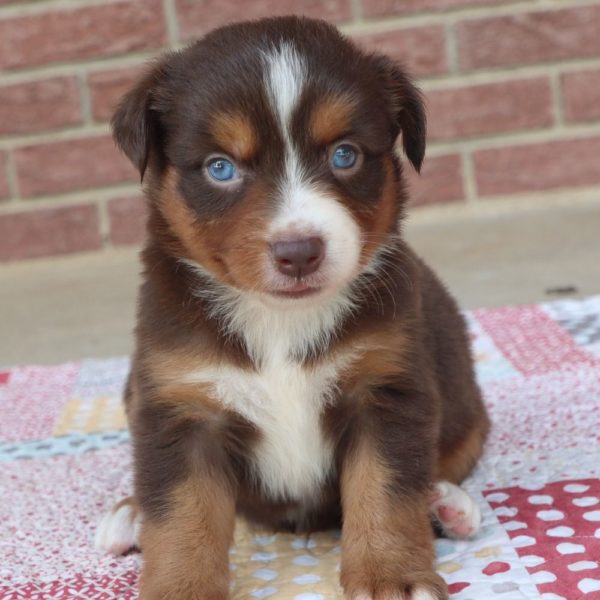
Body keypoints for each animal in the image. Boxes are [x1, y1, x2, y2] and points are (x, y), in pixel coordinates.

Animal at [94, 16, 488, 600]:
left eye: (345, 155)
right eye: (220, 168)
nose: (299, 251)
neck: (277, 321)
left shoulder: (387, 388)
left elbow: (386, 492)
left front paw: (391, 575)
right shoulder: (180, 405)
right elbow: (183, 513)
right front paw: (182, 584)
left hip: (467, 411)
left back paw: (446, 504)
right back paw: (129, 515)